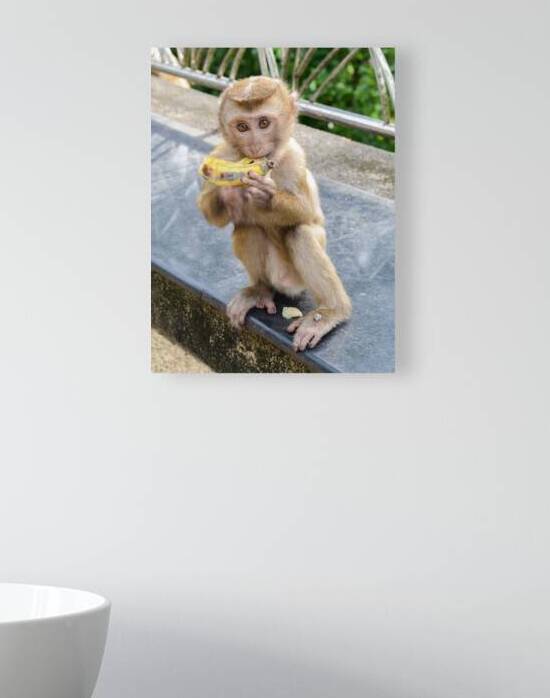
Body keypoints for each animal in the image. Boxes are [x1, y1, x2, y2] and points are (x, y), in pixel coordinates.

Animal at [197, 76, 351, 352]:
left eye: (264, 123)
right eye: (242, 127)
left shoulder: (294, 156)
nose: (255, 144)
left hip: (296, 280)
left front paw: (268, 196)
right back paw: (260, 290)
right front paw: (228, 195)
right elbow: (210, 213)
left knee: (300, 233)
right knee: (247, 228)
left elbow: (306, 210)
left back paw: (330, 312)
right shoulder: (221, 155)